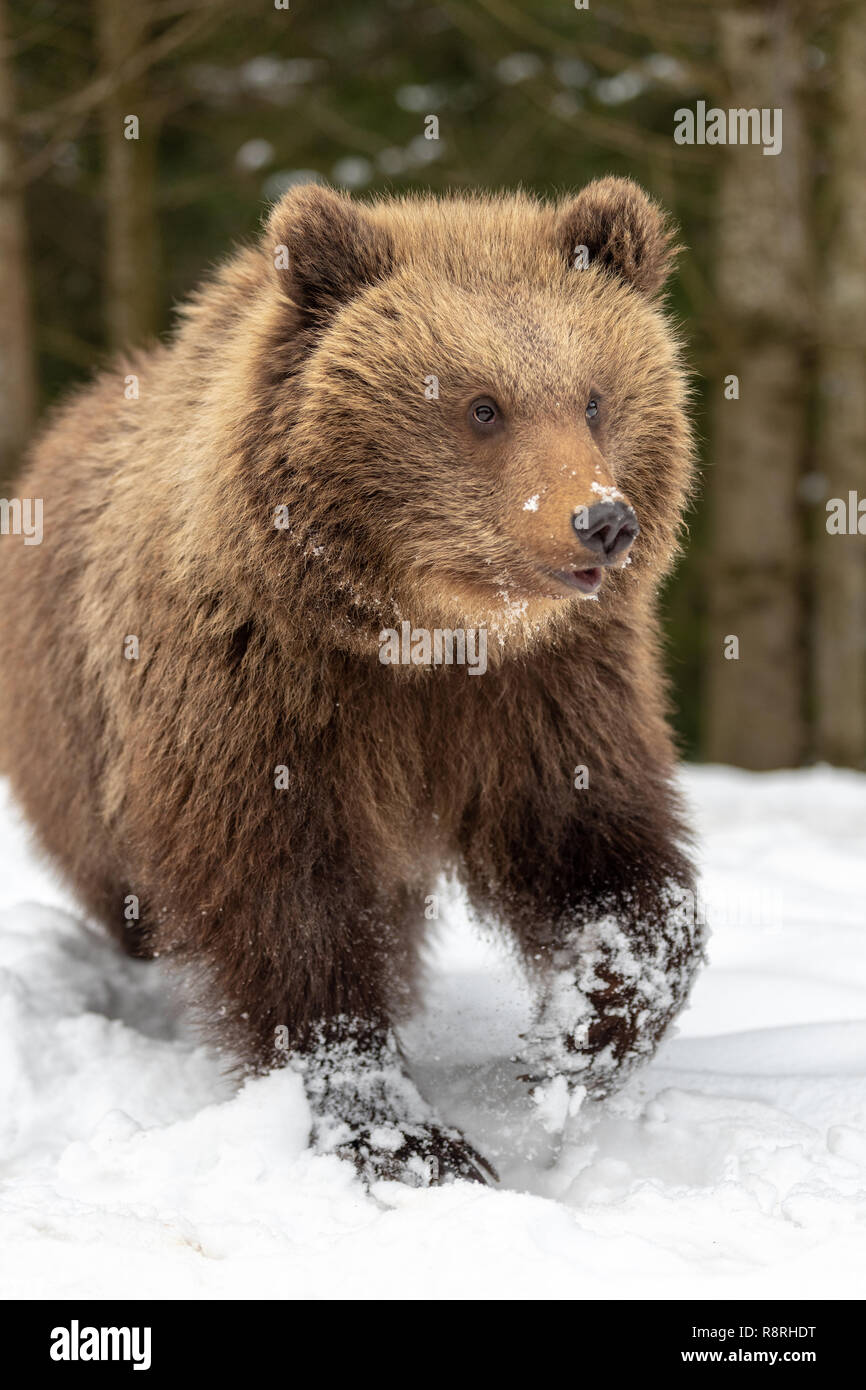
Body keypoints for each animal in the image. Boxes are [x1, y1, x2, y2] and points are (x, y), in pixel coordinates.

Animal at [0, 177, 704, 1186]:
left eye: (595, 397)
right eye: (481, 406)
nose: (600, 521)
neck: (424, 637)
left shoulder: (546, 692)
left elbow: (603, 856)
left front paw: (571, 1043)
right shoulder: (264, 696)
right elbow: (285, 911)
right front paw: (406, 1137)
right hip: (71, 750)